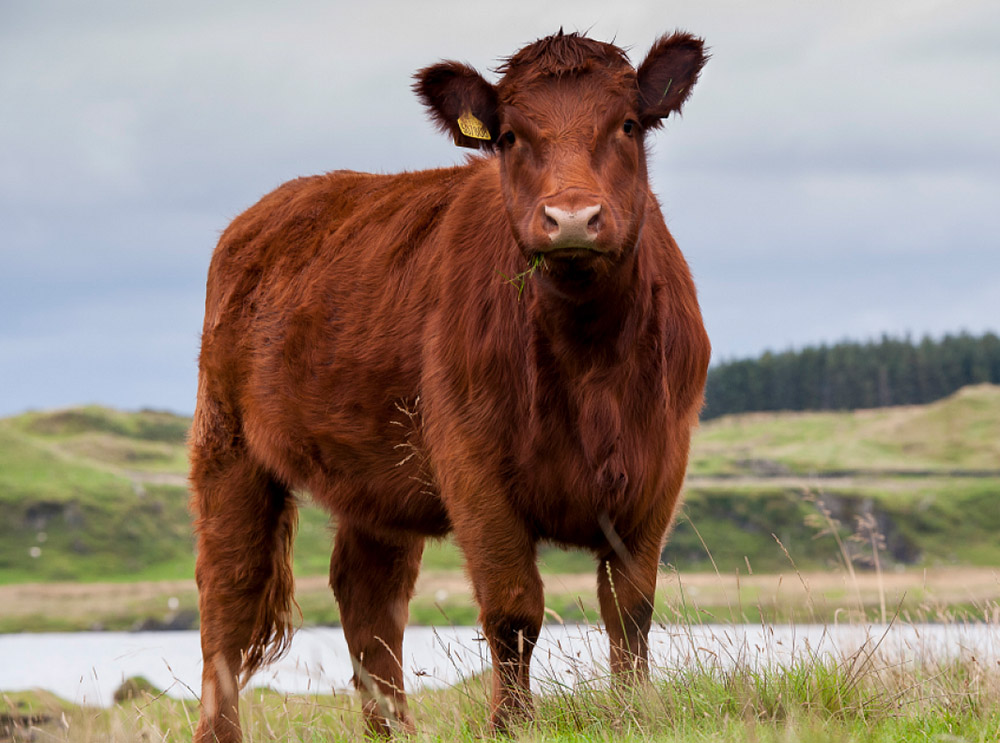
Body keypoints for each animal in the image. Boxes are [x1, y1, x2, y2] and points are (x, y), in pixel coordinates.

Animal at [193, 30, 712, 743]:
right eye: (510, 136)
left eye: (628, 124)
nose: (572, 218)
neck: (590, 358)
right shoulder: (474, 470)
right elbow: (514, 611)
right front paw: (512, 725)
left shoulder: (656, 471)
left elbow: (629, 609)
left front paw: (635, 714)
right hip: (227, 445)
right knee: (230, 597)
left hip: (376, 476)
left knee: (368, 597)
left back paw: (393, 731)